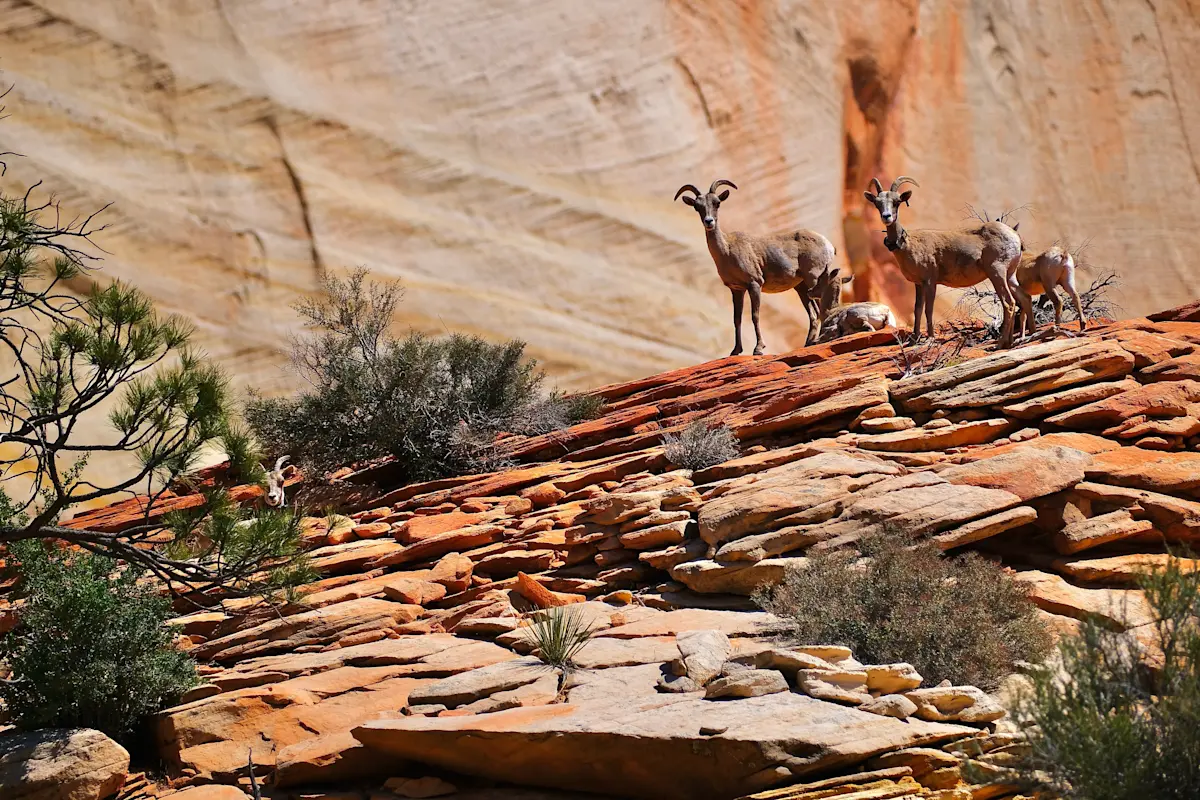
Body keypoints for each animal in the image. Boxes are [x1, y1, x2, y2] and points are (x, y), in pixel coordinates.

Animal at [675, 179, 838, 355]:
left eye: (717, 203)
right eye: (697, 206)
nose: (709, 221)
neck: (727, 250)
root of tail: (828, 244)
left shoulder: (754, 284)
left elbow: (755, 315)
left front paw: (758, 349)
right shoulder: (737, 289)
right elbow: (737, 319)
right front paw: (735, 350)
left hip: (813, 278)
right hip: (802, 287)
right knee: (813, 314)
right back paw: (808, 343)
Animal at [863, 177, 1030, 347]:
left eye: (897, 202)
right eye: (877, 203)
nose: (886, 216)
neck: (908, 246)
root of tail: (1015, 236)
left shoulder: (930, 281)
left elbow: (928, 309)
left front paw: (930, 339)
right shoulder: (918, 284)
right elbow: (917, 309)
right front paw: (914, 340)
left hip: (997, 273)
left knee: (1009, 303)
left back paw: (1000, 343)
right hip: (1010, 275)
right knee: (1024, 299)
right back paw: (1010, 341)